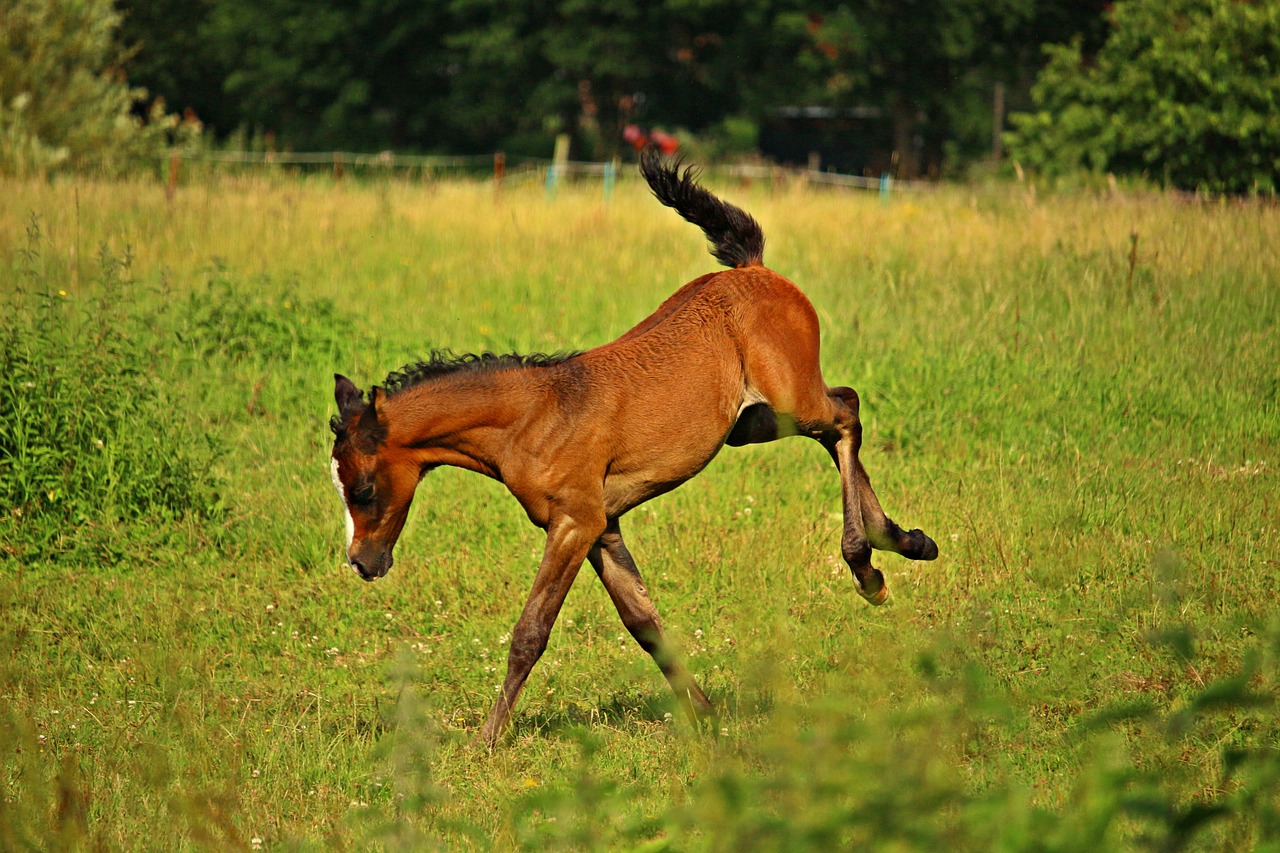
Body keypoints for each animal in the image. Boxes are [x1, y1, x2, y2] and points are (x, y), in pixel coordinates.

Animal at [325, 149, 936, 742]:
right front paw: (707, 720)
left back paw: (867, 566)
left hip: (791, 399)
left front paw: (487, 741)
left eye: (364, 488)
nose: (362, 562)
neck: (536, 416)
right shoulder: (604, 526)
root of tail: (755, 270)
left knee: (845, 413)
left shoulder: (575, 523)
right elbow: (645, 623)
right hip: (751, 425)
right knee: (840, 420)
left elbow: (531, 631)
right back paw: (904, 541)